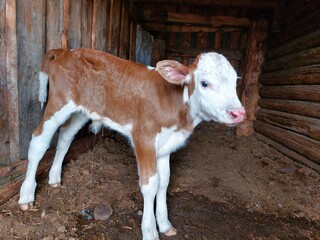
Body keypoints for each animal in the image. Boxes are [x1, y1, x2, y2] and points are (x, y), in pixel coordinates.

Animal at [18, 48, 245, 240]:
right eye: (205, 83)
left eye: (235, 82)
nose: (239, 113)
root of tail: (66, 51)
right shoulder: (144, 138)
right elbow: (150, 185)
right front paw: (150, 231)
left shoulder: (165, 146)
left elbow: (164, 181)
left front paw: (165, 224)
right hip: (58, 103)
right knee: (38, 142)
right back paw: (27, 195)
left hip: (82, 110)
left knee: (65, 136)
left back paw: (55, 178)